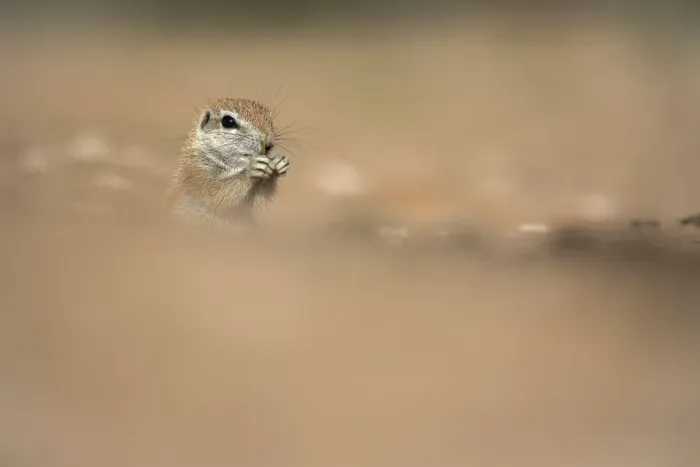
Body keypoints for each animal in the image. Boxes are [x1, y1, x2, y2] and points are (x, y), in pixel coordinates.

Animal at [169, 97, 290, 229]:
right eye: (228, 121)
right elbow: (217, 193)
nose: (269, 144)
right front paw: (251, 170)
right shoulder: (196, 176)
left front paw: (278, 165)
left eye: (270, 120)